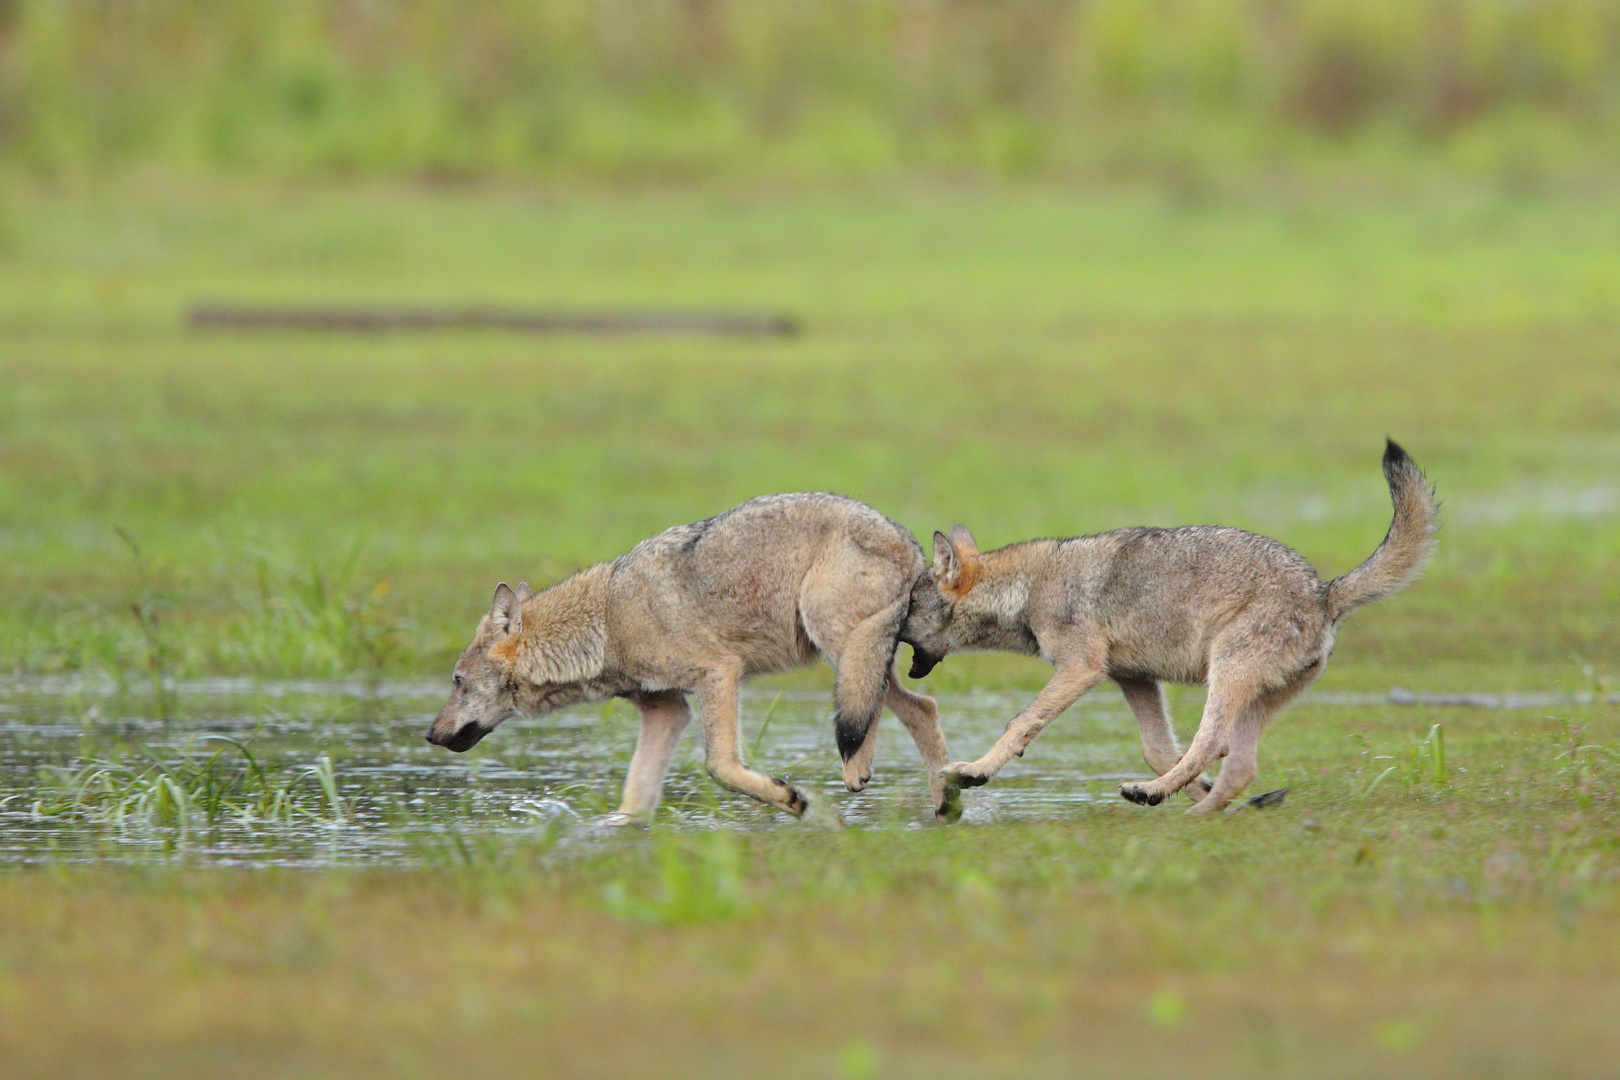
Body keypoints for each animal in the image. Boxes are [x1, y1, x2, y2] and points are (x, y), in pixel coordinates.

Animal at [424, 495, 952, 822]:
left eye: (457, 682)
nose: (429, 734)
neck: (607, 621)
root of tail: (911, 542)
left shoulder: (718, 674)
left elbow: (720, 766)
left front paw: (791, 799)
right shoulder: (666, 710)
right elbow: (635, 797)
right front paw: (612, 830)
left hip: (836, 643)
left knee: (873, 709)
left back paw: (861, 772)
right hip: (852, 653)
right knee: (919, 707)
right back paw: (946, 805)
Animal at [900, 440, 1445, 809]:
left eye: (908, 605)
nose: (890, 629)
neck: (1028, 588)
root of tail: (1323, 591)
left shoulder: (1081, 669)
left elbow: (1019, 722)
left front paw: (973, 772)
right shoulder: (1133, 679)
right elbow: (1159, 749)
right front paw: (1186, 789)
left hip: (1225, 674)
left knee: (1211, 744)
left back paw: (1158, 796)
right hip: (1250, 697)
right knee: (1237, 765)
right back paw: (1197, 812)